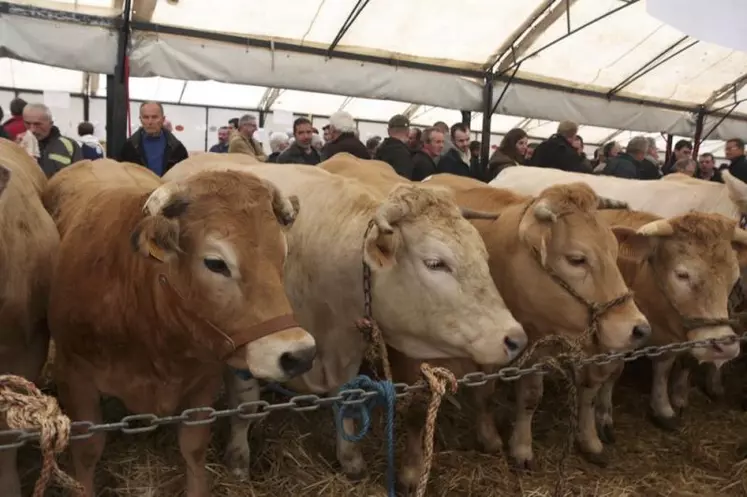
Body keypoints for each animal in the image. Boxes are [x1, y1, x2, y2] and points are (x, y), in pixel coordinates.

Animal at [43, 161, 318, 494]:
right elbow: (87, 452)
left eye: (282, 254)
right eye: (215, 263)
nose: (299, 354)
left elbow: (194, 447)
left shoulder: (204, 379)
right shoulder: (74, 376)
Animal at [324, 164, 652, 484]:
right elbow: (417, 414)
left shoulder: (526, 348)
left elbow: (515, 396)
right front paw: (412, 472)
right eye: (576, 259)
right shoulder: (411, 359)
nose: (638, 327)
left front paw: (507, 443)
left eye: (614, 251)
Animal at [592, 207, 744, 432]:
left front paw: (662, 408)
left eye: (734, 276)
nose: (725, 347)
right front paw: (603, 416)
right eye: (682, 274)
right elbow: (613, 372)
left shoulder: (669, 340)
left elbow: (663, 370)